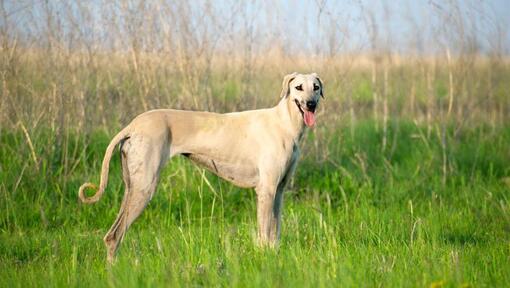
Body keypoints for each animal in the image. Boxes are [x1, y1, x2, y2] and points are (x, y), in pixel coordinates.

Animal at [78, 72, 326, 264]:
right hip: (144, 189)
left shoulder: (278, 192)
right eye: (298, 87)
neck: (284, 123)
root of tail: (132, 126)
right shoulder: (266, 191)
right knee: (114, 236)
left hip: (132, 187)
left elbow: (275, 233)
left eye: (316, 87)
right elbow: (264, 234)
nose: (311, 104)